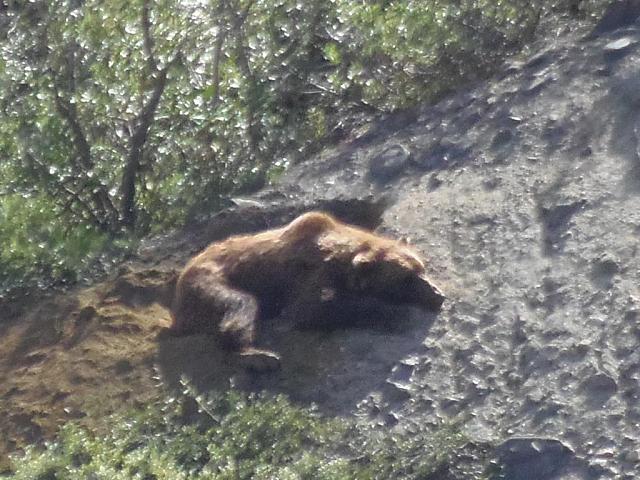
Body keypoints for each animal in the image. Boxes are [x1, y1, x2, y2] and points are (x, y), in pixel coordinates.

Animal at [168, 211, 442, 368]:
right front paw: (393, 313)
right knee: (240, 304)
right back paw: (256, 355)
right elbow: (309, 310)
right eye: (406, 278)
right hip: (207, 282)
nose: (437, 294)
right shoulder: (309, 273)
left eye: (421, 268)